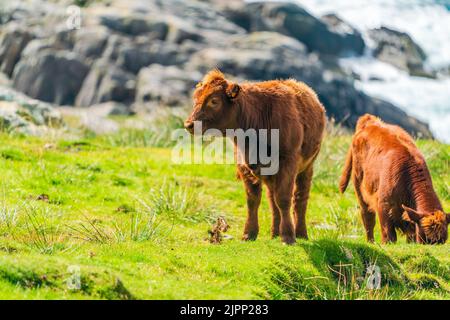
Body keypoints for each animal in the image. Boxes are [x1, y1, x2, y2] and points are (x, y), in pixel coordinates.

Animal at [185, 70, 326, 244]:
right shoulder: (244, 166)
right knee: (272, 200)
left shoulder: (288, 163)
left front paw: (288, 236)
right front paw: (249, 233)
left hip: (307, 167)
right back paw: (275, 233)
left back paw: (300, 233)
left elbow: (284, 199)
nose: (189, 124)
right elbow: (253, 200)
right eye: (196, 98)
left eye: (214, 101)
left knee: (300, 199)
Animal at [340, 114, 448, 244]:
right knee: (367, 217)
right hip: (359, 186)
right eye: (425, 239)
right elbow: (389, 234)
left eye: (443, 241)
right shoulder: (384, 205)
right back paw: (371, 241)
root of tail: (370, 121)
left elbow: (410, 235)